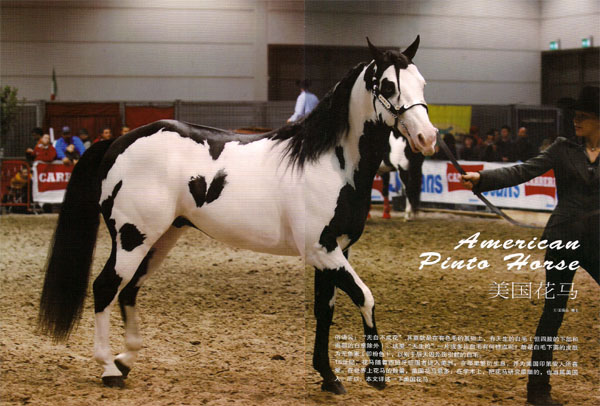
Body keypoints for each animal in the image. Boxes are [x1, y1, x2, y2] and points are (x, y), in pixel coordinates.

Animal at [38, 36, 437, 395]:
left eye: (421, 82)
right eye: (388, 85)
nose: (427, 138)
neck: (330, 163)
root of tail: (117, 142)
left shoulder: (335, 250)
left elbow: (326, 310)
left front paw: (329, 377)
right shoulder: (322, 251)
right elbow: (365, 297)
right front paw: (375, 375)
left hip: (160, 239)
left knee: (129, 290)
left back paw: (125, 360)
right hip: (132, 237)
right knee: (106, 287)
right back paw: (108, 368)